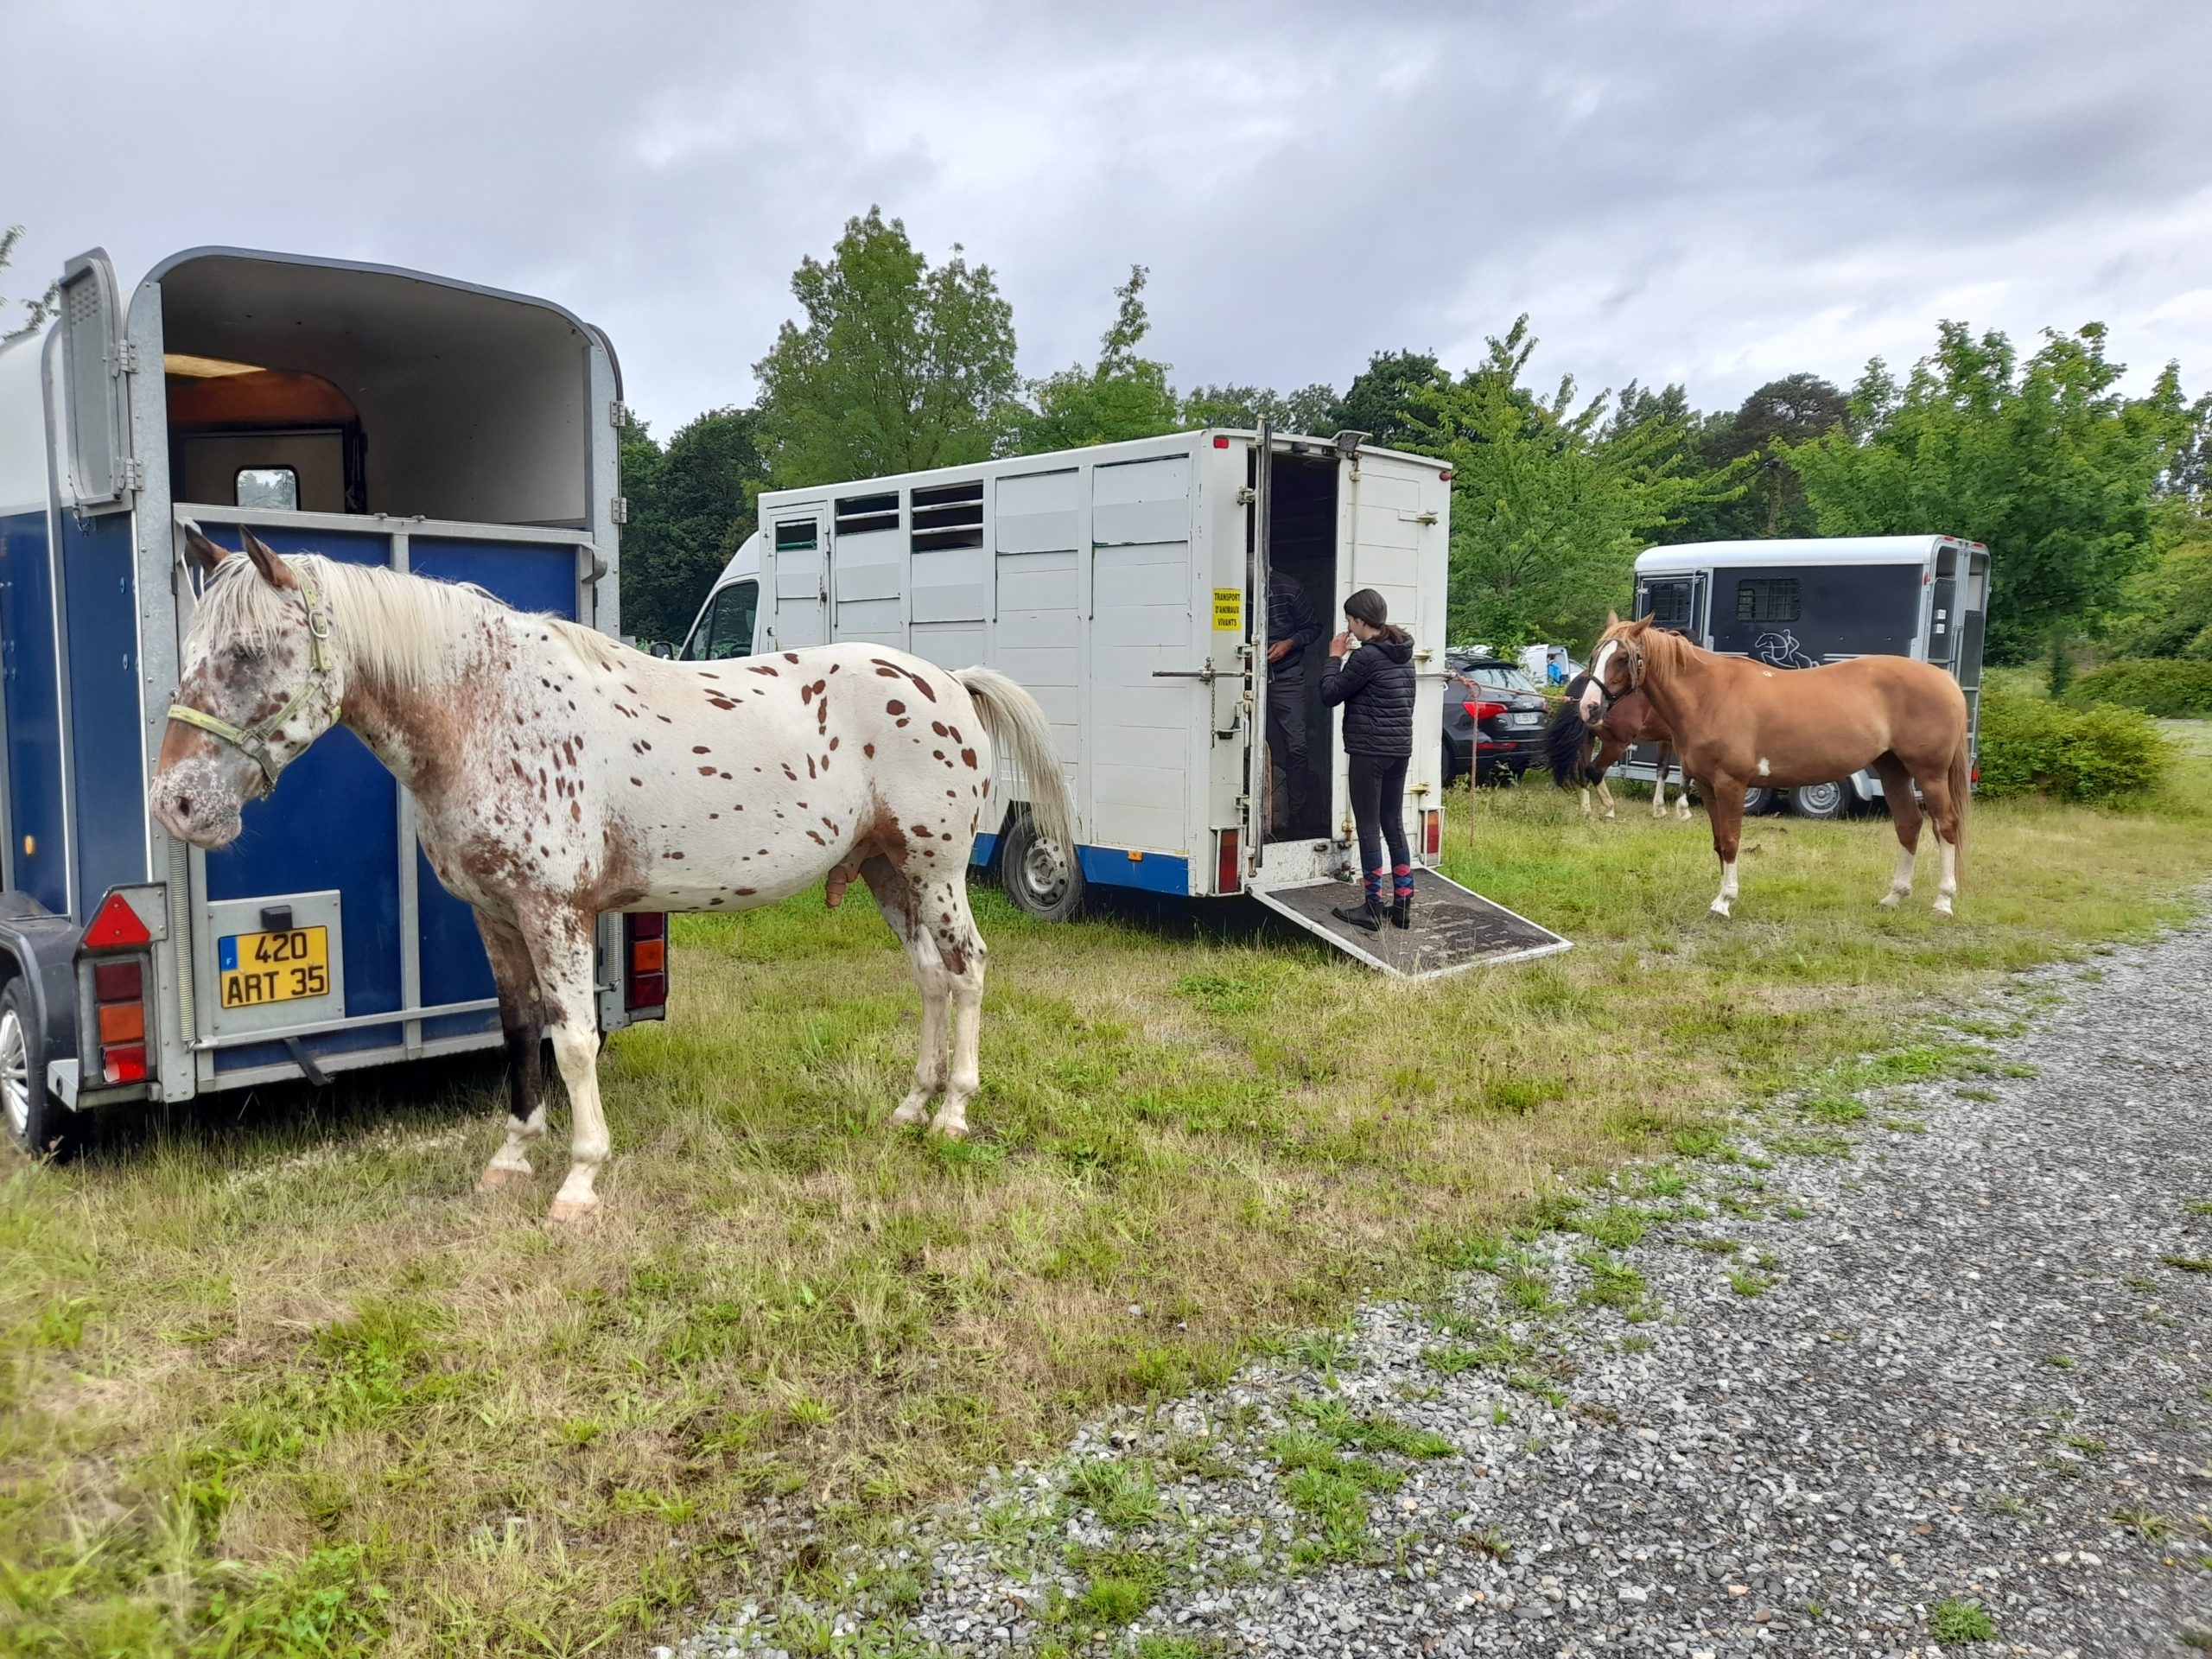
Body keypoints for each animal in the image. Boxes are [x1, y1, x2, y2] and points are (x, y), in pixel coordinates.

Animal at [151, 527, 1074, 1223]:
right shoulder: (495, 915)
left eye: (245, 653)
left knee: (966, 970)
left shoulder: (555, 912)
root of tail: (948, 681)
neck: (485, 710)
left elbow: (573, 1040)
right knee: (928, 976)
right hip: (888, 873)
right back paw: (911, 1107)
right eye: (189, 649)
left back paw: (953, 1111)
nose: (176, 805)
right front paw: (511, 1159)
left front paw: (580, 1178)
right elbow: (520, 1031)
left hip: (935, 869)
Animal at [1542, 671, 1692, 822]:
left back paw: (1586, 810)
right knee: (1595, 770)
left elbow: (1663, 770)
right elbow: (1685, 773)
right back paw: (1609, 808)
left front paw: (1659, 809)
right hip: (1615, 743)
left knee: (1584, 771)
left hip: (1588, 739)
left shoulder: (1666, 740)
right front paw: (1684, 810)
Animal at [1580, 614, 1969, 919]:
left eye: (1622, 658)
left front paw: (1724, 901)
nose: (1589, 707)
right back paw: (1894, 896)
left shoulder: (1731, 784)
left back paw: (1943, 902)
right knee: (1909, 825)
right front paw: (1723, 894)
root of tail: (1945, 680)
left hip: (1930, 774)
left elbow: (1732, 840)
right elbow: (1719, 841)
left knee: (1945, 826)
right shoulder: (1706, 785)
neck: (1708, 696)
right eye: (1596, 655)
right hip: (1893, 770)